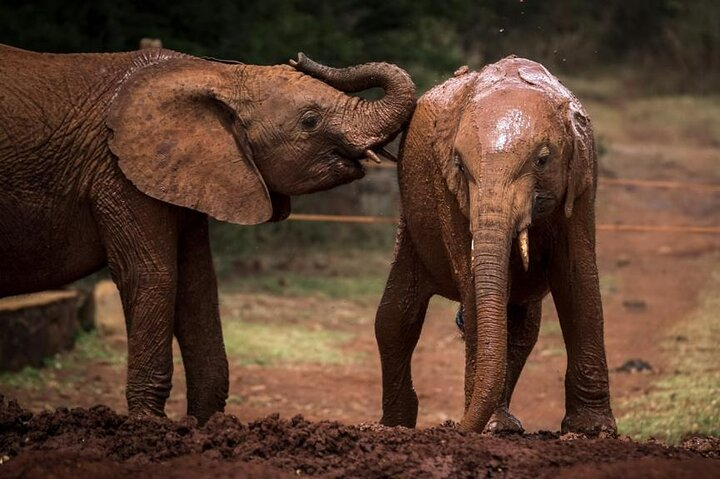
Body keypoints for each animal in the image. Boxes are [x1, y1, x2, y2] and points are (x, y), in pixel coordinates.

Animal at [0, 44, 416, 424]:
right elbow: (152, 276)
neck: (214, 74)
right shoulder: (118, 174)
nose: (298, 57)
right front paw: (149, 427)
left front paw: (206, 426)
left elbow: (197, 284)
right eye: (310, 121)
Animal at [374, 55, 616, 436]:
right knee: (395, 319)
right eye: (459, 165)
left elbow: (577, 277)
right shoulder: (447, 189)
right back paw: (399, 427)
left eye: (542, 160)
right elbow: (471, 280)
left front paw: (592, 430)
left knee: (521, 330)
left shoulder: (583, 175)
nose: (451, 427)